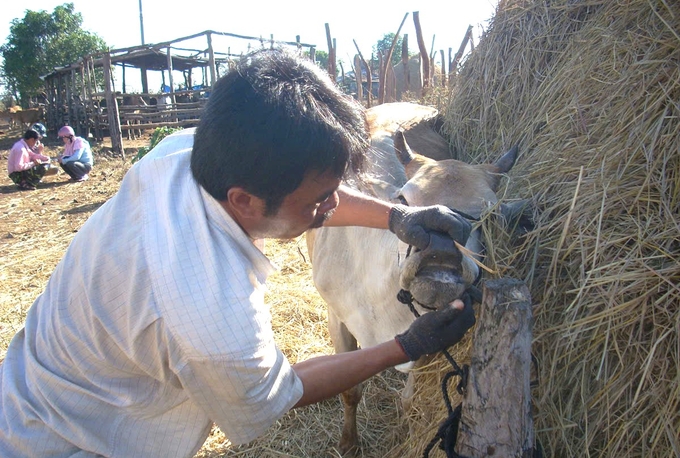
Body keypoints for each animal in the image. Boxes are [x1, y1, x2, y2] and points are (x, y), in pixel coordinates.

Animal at [306, 100, 528, 454]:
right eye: (403, 199)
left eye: (490, 214)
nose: (442, 249)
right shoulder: (336, 317)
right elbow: (350, 390)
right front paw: (349, 443)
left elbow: (409, 400)